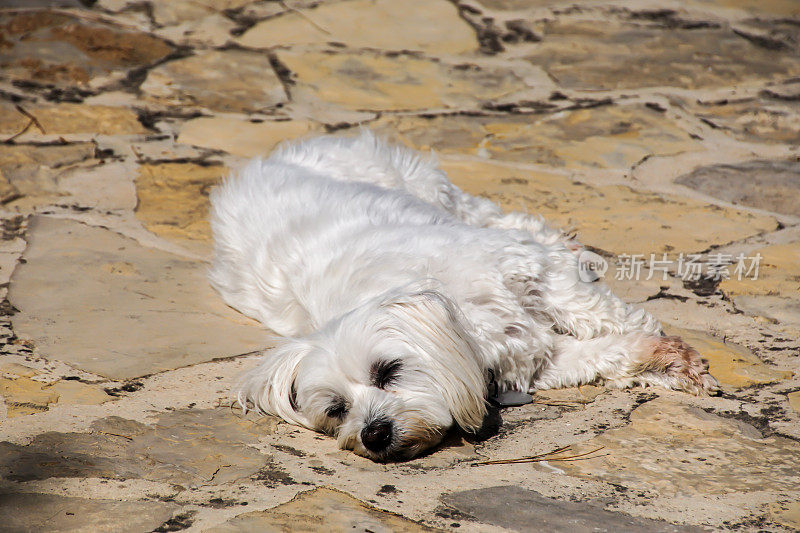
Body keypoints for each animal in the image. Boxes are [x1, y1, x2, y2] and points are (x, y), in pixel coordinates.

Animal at [211, 131, 720, 460]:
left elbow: (601, 311)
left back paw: (566, 246)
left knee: (504, 218)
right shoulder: (533, 364)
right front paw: (660, 361)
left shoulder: (533, 272)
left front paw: (668, 351)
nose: (374, 434)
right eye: (337, 410)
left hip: (426, 189)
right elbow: (601, 354)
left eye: (388, 371)